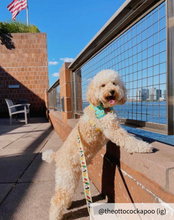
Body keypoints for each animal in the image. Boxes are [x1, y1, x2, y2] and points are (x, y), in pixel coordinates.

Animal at [42, 69, 152, 220]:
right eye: (103, 85)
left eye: (114, 83)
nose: (112, 91)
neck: (102, 107)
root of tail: (57, 155)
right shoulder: (111, 129)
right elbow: (126, 138)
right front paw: (144, 146)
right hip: (67, 177)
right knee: (57, 199)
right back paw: (55, 216)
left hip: (73, 176)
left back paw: (68, 205)